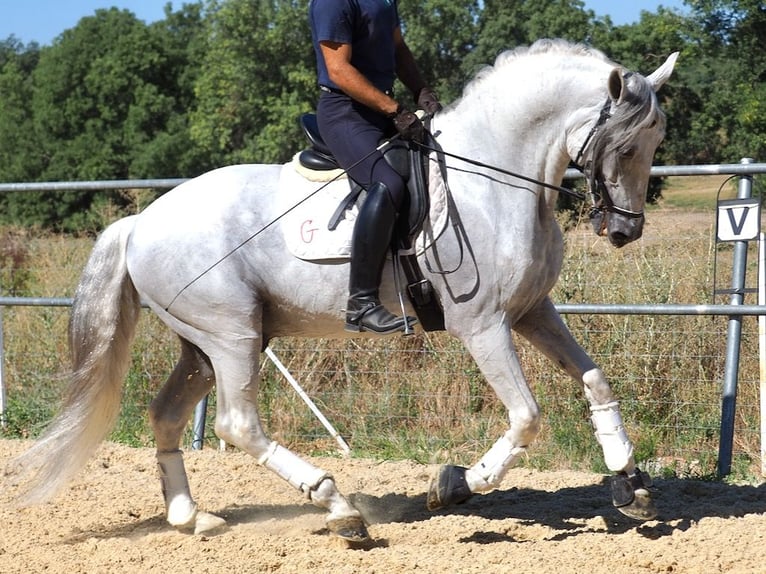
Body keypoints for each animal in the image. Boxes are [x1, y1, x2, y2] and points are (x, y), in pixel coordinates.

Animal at [6, 38, 680, 544]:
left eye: (654, 145)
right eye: (625, 145)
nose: (624, 231)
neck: (493, 177)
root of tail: (140, 221)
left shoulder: (532, 312)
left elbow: (595, 380)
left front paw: (631, 484)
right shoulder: (483, 325)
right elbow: (527, 418)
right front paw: (453, 485)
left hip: (204, 342)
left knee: (168, 414)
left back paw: (192, 517)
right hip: (232, 335)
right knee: (237, 425)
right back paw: (339, 508)